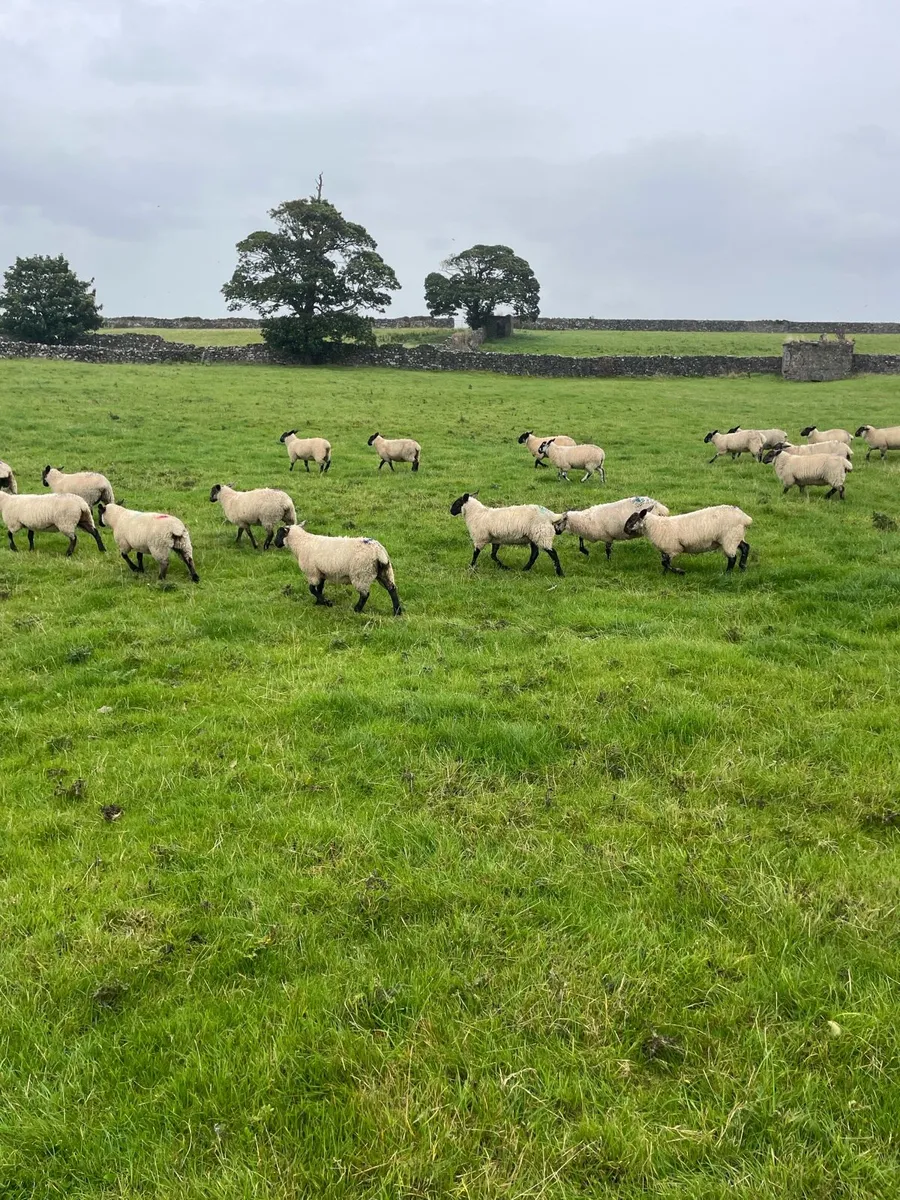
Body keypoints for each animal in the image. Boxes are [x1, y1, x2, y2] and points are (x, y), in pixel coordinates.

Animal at [273, 522, 402, 615]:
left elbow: (312, 589)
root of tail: (378, 551)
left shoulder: (312, 573)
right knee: (392, 589)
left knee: (365, 595)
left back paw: (357, 610)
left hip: (361, 574)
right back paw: (397, 611)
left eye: (279, 533)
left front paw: (327, 602)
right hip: (385, 572)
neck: (301, 544)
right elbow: (319, 588)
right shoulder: (321, 573)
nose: (275, 543)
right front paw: (319, 603)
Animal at [622, 505, 753, 574]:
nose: (625, 530)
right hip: (736, 536)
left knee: (732, 558)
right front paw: (664, 574)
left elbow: (665, 563)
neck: (655, 526)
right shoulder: (665, 550)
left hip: (729, 537)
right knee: (745, 547)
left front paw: (680, 572)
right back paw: (743, 567)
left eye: (633, 520)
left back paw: (727, 574)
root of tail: (745, 518)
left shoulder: (673, 548)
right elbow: (665, 563)